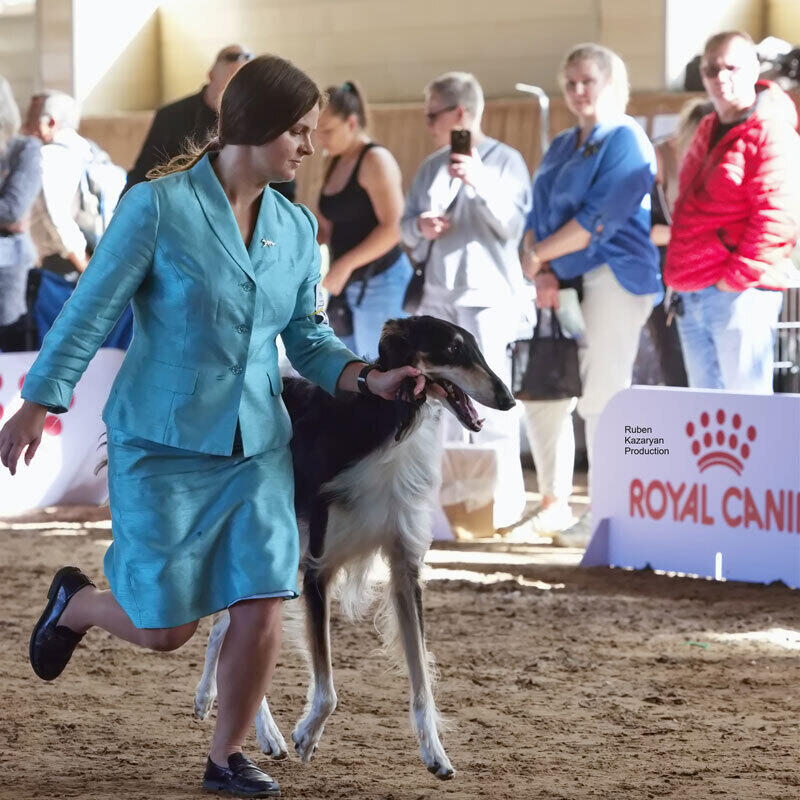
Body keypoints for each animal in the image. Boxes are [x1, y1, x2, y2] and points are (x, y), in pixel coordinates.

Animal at [197, 314, 516, 780]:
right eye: (453, 349)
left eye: (474, 347)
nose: (509, 399)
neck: (389, 424)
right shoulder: (318, 567)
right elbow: (328, 689)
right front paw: (306, 735)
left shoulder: (404, 569)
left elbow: (422, 679)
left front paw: (436, 755)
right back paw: (256, 725)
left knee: (227, 625)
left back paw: (233, 714)